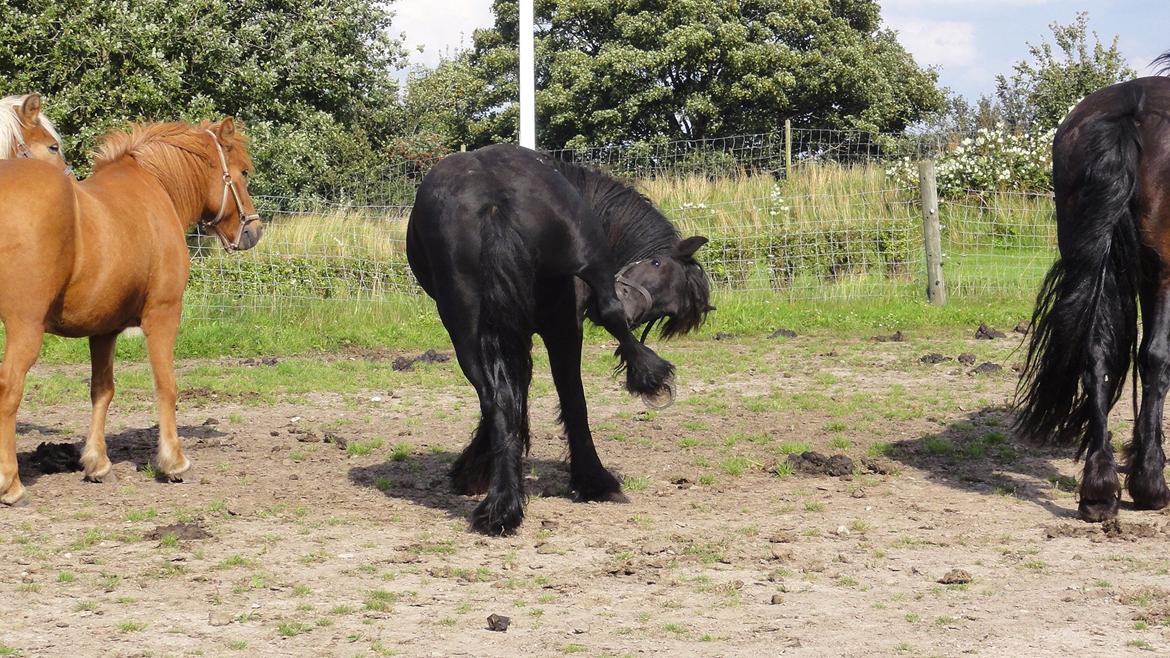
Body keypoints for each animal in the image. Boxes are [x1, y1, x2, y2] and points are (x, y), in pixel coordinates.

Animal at [0, 118, 263, 505]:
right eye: (242, 171)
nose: (254, 230)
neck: (155, 189)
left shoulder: (102, 329)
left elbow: (102, 390)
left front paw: (97, 463)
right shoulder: (163, 315)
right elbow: (166, 385)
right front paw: (174, 461)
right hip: (25, 328)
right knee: (10, 389)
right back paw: (12, 484)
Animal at [407, 144, 712, 535]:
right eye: (658, 266)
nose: (634, 309)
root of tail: (494, 196)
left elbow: (515, 390)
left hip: (465, 322)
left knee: (497, 398)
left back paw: (502, 507)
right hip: (576, 286)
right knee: (602, 325)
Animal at [1016, 69, 1170, 522]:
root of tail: (1131, 104)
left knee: (1097, 352)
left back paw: (1099, 489)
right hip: (1160, 268)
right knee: (1155, 358)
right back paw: (1150, 484)